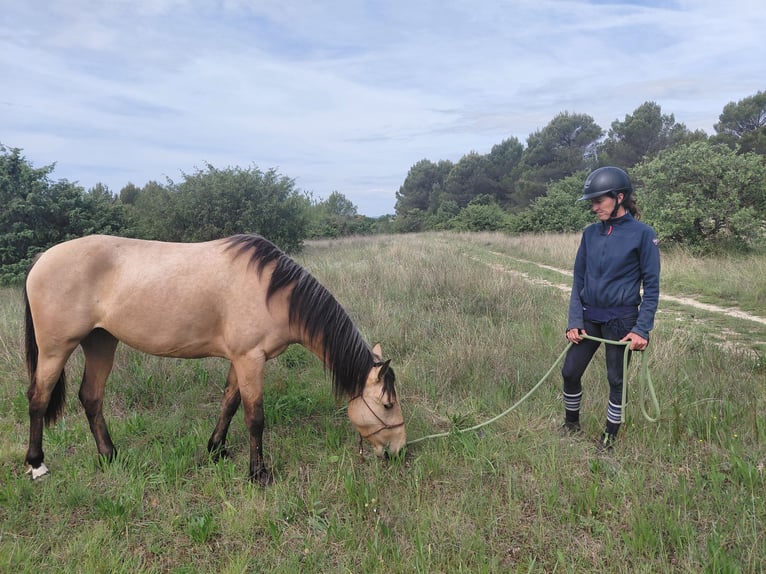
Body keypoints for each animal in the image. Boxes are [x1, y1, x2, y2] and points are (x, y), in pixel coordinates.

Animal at [22, 234, 406, 485]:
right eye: (387, 405)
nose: (399, 452)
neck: (272, 291)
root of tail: (42, 259)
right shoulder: (251, 359)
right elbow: (254, 418)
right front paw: (258, 474)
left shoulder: (239, 360)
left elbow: (229, 405)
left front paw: (215, 450)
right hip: (56, 349)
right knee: (38, 399)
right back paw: (37, 465)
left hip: (101, 342)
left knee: (91, 397)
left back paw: (110, 455)